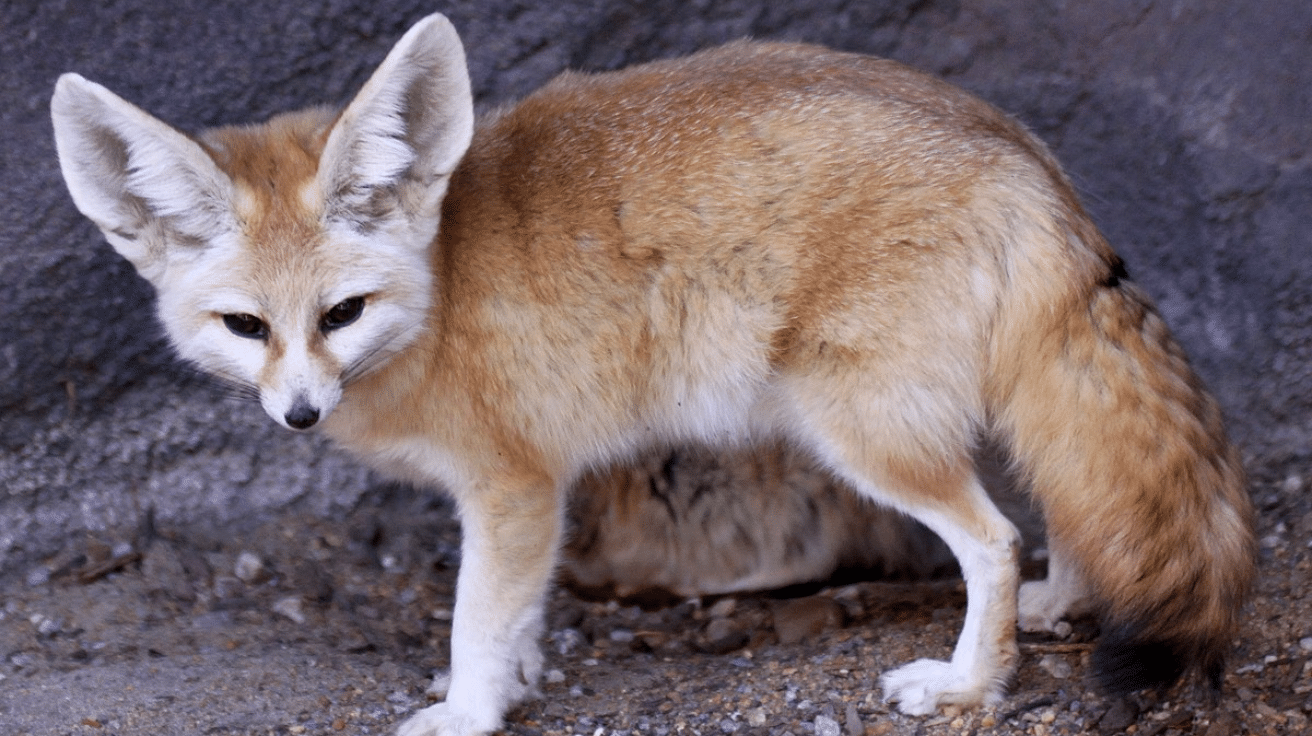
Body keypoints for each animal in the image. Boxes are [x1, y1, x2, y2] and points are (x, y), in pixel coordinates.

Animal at [51, 11, 1254, 734]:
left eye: (342, 314)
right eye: (246, 325)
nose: (300, 415)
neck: (439, 289)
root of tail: (1016, 147)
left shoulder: (516, 485)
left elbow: (477, 617)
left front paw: (470, 709)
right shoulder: (532, 495)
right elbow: (519, 616)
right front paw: (518, 679)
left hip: (861, 431)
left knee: (992, 537)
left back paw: (967, 679)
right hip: (965, 410)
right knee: (1062, 499)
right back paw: (1064, 598)